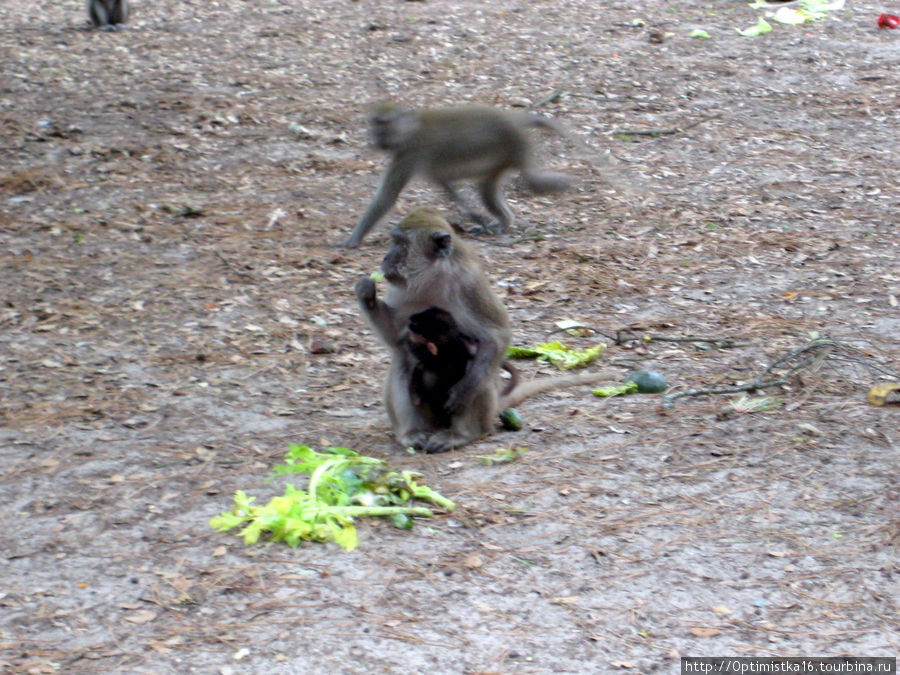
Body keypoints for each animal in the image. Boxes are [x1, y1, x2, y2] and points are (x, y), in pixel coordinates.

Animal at [342, 101, 572, 247]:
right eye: (375, 123)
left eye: (385, 123)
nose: (377, 137)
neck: (410, 130)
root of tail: (513, 119)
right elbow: (446, 185)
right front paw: (474, 215)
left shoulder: (410, 154)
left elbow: (387, 196)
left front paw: (353, 240)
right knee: (487, 187)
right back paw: (504, 221)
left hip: (514, 148)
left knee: (520, 183)